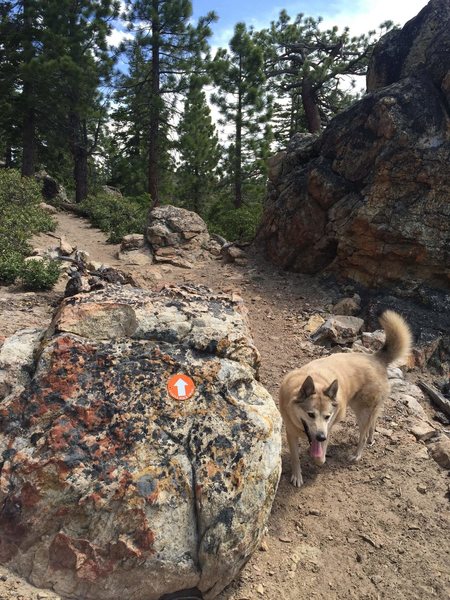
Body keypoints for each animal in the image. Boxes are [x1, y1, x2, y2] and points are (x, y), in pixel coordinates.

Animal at [278, 310, 412, 488]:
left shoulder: (329, 425)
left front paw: (319, 458)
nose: (321, 437)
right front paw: (297, 476)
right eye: (310, 414)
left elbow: (319, 455)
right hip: (366, 408)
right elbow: (295, 458)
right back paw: (371, 438)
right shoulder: (290, 432)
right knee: (373, 422)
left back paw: (357, 454)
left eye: (327, 416)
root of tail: (376, 358)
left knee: (363, 435)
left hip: (362, 412)